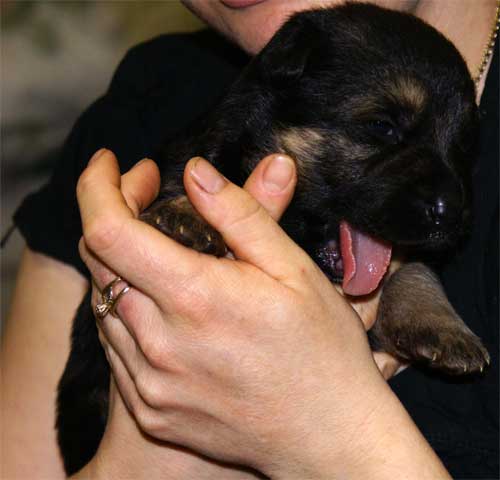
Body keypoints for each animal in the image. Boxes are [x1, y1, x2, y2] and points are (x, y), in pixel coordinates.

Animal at [57, 3, 488, 474]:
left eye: (464, 147)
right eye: (382, 126)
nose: (451, 214)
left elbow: (413, 267)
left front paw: (439, 325)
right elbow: (209, 176)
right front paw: (186, 213)